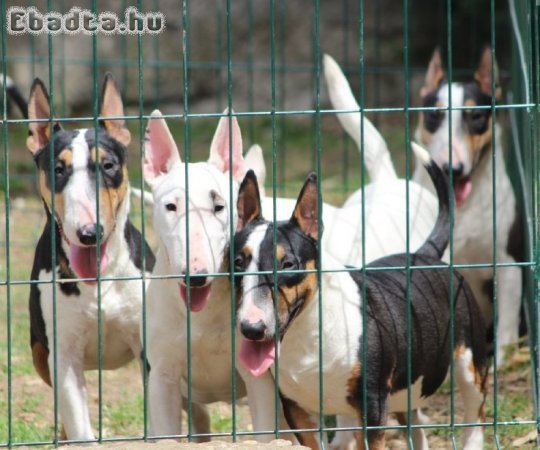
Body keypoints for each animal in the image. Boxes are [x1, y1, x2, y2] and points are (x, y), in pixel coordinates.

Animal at [234, 144, 488, 450]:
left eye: (288, 264)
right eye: (238, 262)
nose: (251, 329)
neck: (309, 334)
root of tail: (424, 254)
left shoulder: (372, 405)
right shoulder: (298, 410)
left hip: (470, 360)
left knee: (474, 414)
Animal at [414, 47, 524, 360]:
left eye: (475, 115)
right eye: (434, 114)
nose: (452, 169)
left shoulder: (510, 263)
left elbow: (506, 326)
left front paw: (501, 360)